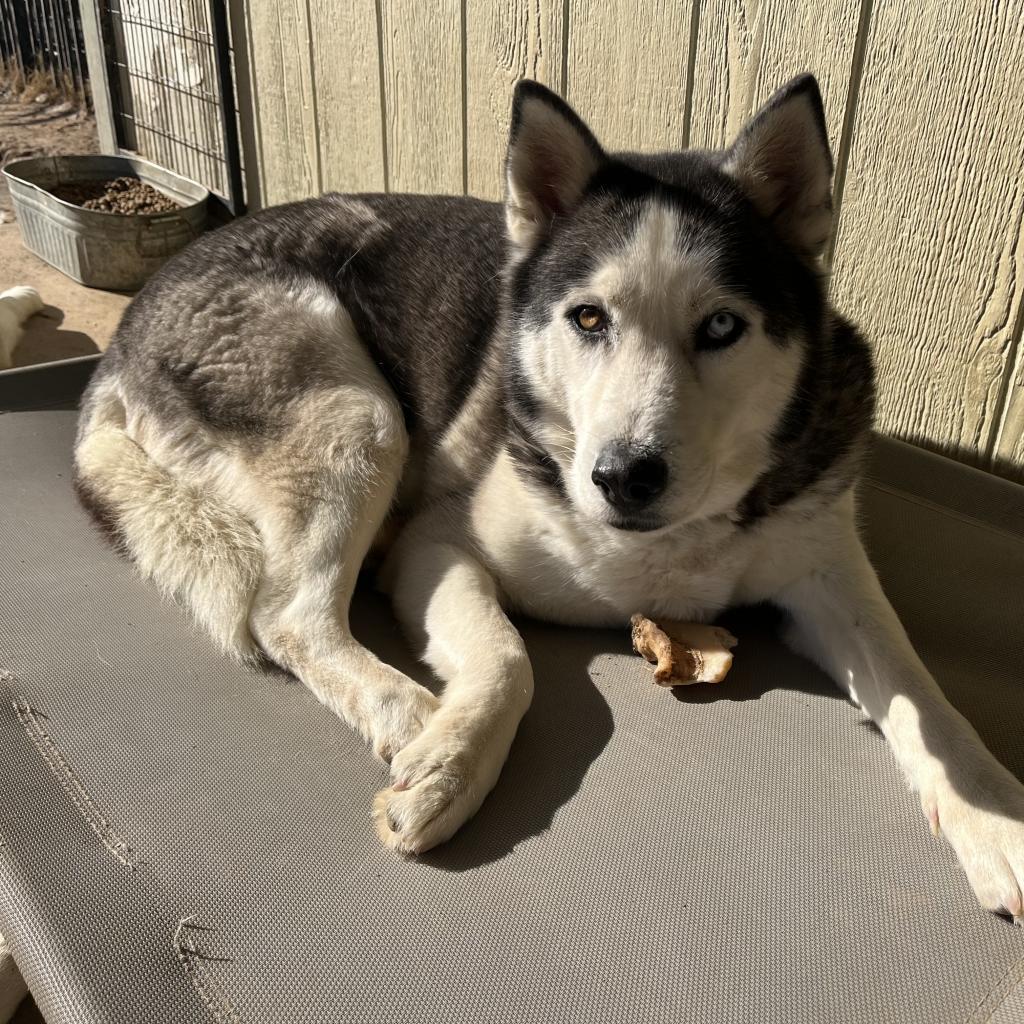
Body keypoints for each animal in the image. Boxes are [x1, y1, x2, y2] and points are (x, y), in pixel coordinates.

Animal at [75, 74, 1024, 921]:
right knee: (290, 618)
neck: (668, 542)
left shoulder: (827, 569)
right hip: (359, 413)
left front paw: (994, 818)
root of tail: (119, 341)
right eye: (589, 319)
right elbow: (508, 659)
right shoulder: (437, 544)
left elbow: (921, 693)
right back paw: (408, 712)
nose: (623, 476)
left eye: (722, 326)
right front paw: (453, 764)